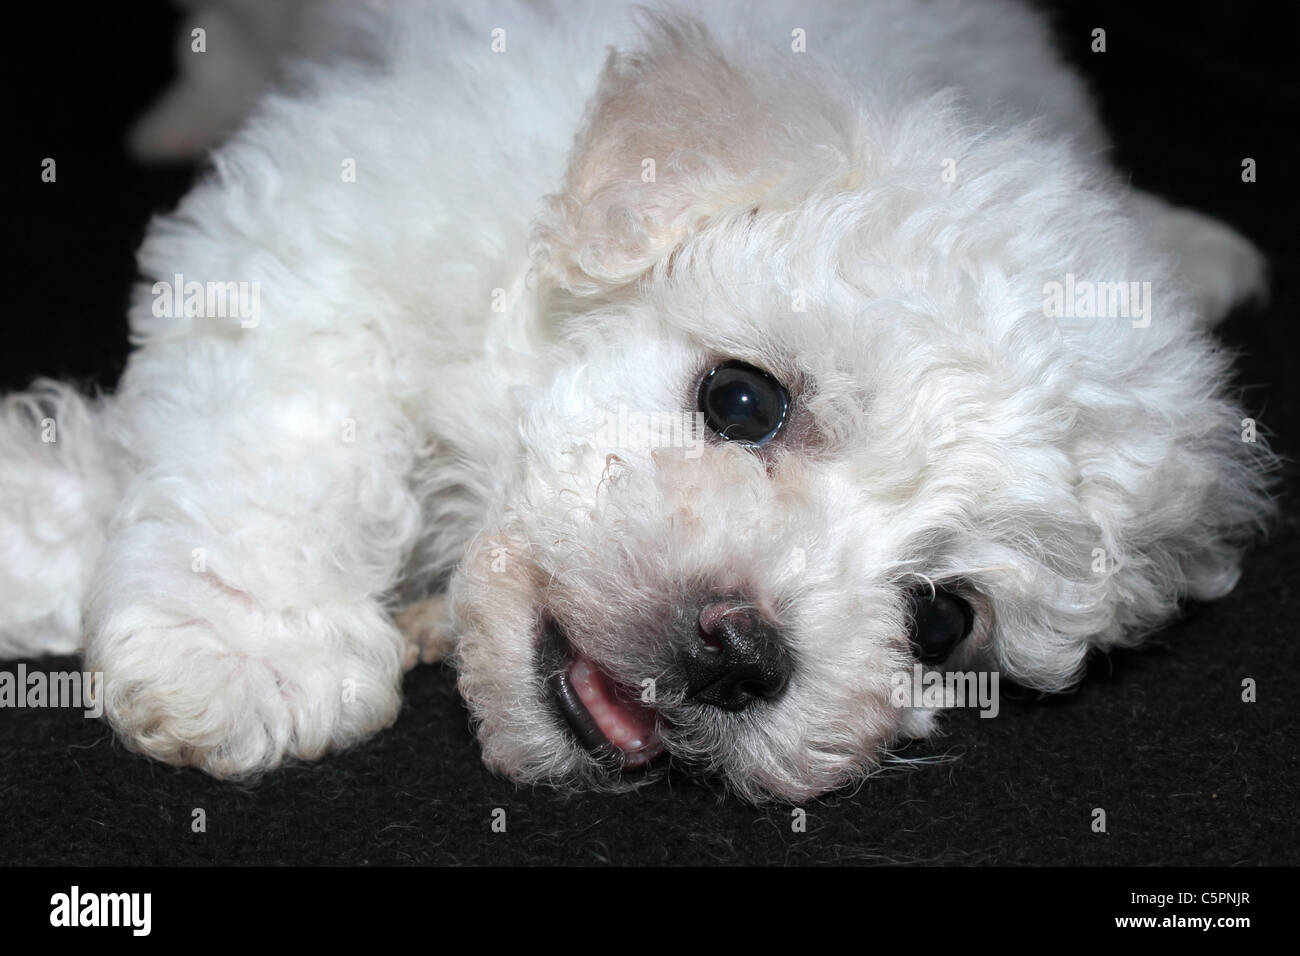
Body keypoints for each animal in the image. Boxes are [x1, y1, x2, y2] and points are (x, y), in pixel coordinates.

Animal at [0, 0, 1268, 806]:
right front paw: (239, 647)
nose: (740, 651)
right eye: (742, 397)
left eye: (943, 619)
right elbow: (294, 423)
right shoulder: (335, 209)